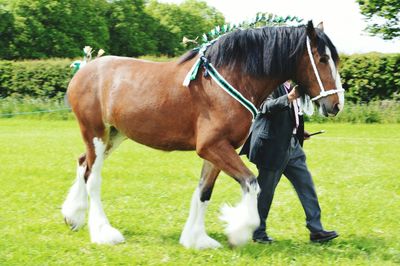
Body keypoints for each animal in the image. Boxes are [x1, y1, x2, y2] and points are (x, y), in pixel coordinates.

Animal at [61, 21, 344, 249]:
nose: (336, 104)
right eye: (322, 59)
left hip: (114, 135)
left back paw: (73, 215)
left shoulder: (218, 150)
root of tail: (84, 69)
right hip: (95, 133)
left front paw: (196, 240)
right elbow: (251, 182)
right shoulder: (212, 146)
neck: (230, 79)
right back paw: (104, 233)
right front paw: (237, 231)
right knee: (93, 177)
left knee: (83, 164)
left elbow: (204, 192)